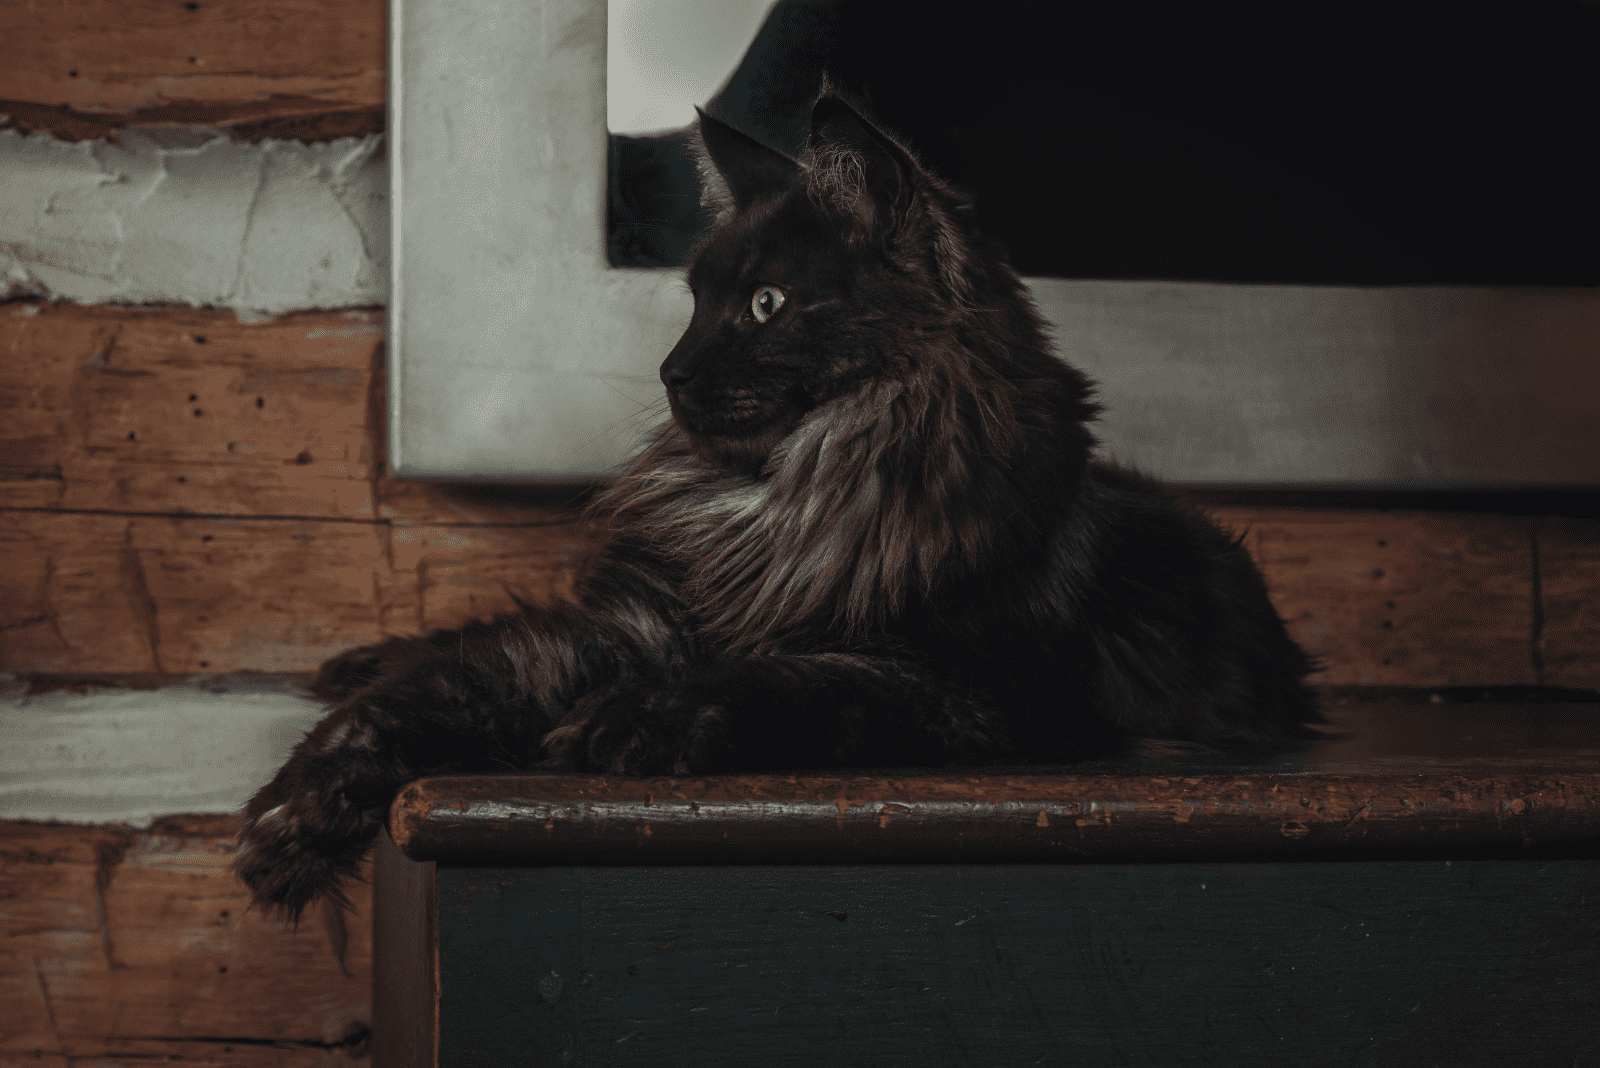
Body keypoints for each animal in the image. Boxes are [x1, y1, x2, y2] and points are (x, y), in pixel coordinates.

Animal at [233, 89, 1312, 920]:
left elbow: (797, 681)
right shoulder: (638, 627)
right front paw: (295, 816)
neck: (788, 501)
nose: (670, 373)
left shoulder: (985, 691)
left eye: (765, 306)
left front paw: (637, 722)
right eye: (693, 302)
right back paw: (355, 658)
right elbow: (442, 689)